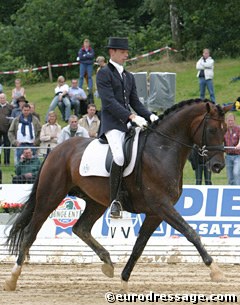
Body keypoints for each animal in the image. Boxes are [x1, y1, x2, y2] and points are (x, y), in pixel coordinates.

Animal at [3, 99, 232, 290]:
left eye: (226, 130)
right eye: (212, 129)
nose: (218, 166)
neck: (162, 149)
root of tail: (56, 150)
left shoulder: (155, 213)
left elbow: (139, 247)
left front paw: (124, 280)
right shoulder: (162, 205)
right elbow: (190, 232)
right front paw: (216, 271)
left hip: (96, 202)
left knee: (81, 228)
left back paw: (107, 262)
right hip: (50, 196)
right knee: (30, 233)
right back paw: (12, 279)